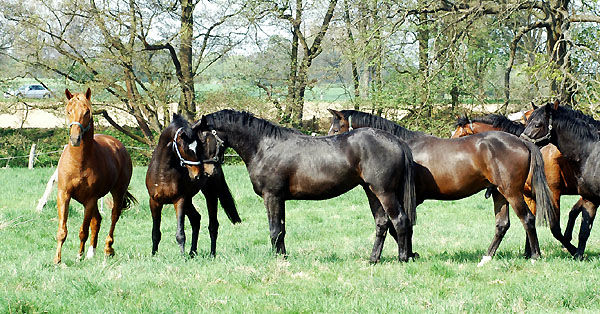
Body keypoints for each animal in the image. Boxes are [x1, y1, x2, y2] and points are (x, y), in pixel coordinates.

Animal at [54, 89, 137, 264]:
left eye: (87, 112)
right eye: (69, 111)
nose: (75, 139)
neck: (79, 162)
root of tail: (117, 144)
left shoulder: (91, 199)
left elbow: (83, 231)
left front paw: (79, 256)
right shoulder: (64, 195)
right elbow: (62, 230)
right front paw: (57, 260)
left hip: (117, 192)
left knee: (113, 217)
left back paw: (107, 249)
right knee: (97, 220)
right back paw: (91, 252)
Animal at [146, 114, 241, 256]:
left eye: (199, 147)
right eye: (185, 148)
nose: (198, 173)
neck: (163, 172)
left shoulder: (179, 200)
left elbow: (180, 233)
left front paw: (182, 256)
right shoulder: (154, 202)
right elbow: (155, 232)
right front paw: (153, 255)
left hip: (210, 194)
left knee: (213, 225)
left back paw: (211, 254)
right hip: (189, 200)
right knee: (196, 219)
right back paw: (192, 252)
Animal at [193, 110, 418, 262]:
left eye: (201, 140)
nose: (206, 172)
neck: (264, 147)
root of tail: (396, 141)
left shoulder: (272, 196)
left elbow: (274, 230)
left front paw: (277, 259)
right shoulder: (279, 199)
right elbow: (281, 230)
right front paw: (283, 257)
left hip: (384, 192)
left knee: (399, 220)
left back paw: (402, 258)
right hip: (371, 191)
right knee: (382, 223)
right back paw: (373, 259)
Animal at [326, 108, 556, 264]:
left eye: (337, 128)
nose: (330, 147)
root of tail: (523, 142)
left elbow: (401, 225)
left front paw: (409, 254)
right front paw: (410, 253)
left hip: (512, 192)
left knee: (528, 219)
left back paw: (535, 256)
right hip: (500, 193)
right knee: (502, 225)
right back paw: (487, 257)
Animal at [520, 102, 600, 258]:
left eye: (537, 124)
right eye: (526, 122)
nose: (522, 143)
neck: (590, 153)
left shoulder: (553, 193)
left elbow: (555, 228)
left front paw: (572, 249)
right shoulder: (590, 199)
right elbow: (584, 231)